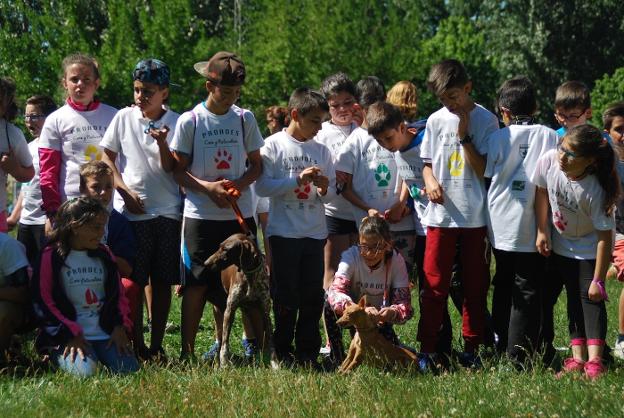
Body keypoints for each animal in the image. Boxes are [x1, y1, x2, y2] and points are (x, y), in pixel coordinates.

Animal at [205, 232, 278, 370]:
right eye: (219, 247)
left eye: (225, 249)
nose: (206, 263)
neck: (250, 277)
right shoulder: (229, 311)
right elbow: (225, 343)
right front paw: (224, 363)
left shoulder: (265, 312)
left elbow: (270, 341)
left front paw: (274, 362)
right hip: (220, 308)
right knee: (220, 338)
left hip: (252, 310)